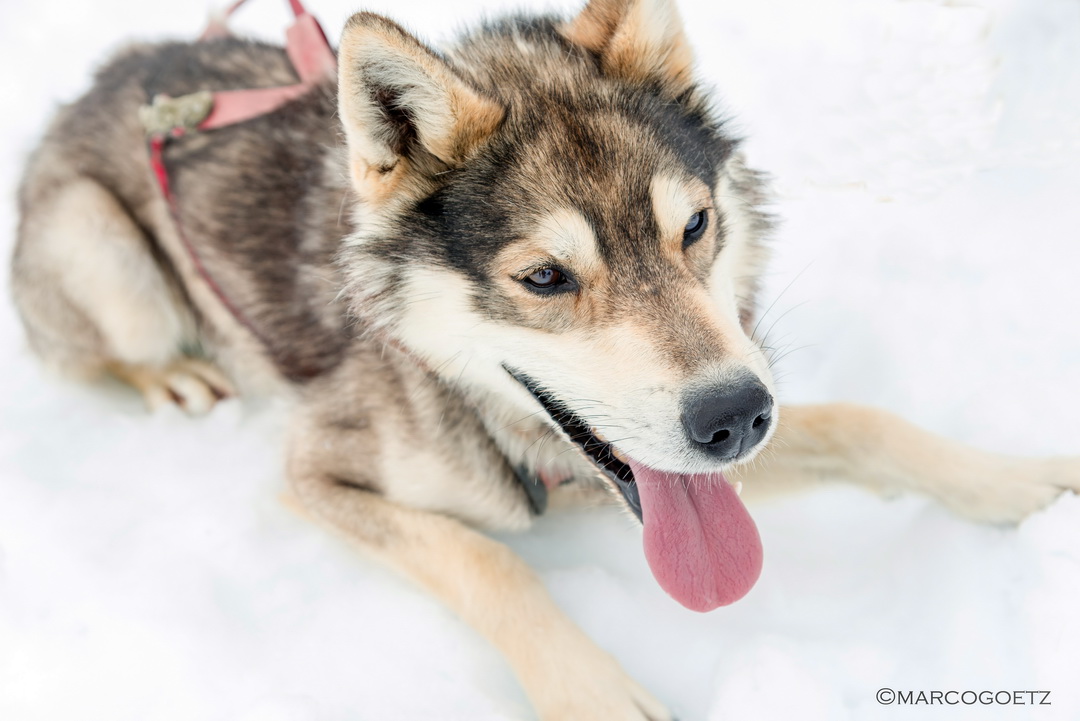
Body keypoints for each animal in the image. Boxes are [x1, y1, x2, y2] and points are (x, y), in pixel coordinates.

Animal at [10, 0, 1080, 716]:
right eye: (545, 278)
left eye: (695, 225)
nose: (734, 417)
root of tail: (106, 77)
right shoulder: (317, 475)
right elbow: (486, 557)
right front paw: (594, 691)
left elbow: (868, 421)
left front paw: (1021, 483)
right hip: (105, 255)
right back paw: (173, 374)